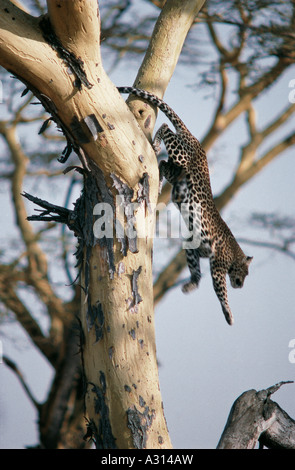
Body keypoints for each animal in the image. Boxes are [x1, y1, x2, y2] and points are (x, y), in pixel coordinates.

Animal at [118, 86, 254, 324]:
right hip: (181, 155)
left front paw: (191, 285)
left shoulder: (193, 247)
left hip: (178, 171)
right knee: (166, 129)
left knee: (164, 163)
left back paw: (158, 177)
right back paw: (156, 143)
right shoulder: (218, 266)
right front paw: (228, 314)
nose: (240, 285)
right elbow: (221, 291)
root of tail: (196, 139)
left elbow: (195, 270)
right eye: (244, 274)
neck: (234, 253)